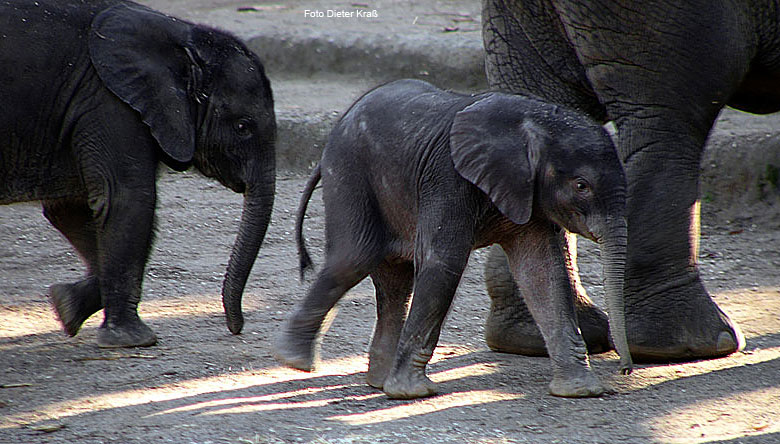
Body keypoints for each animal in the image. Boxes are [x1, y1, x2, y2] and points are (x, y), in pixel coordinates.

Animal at [274, 79, 632, 398]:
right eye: (581, 186)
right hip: (350, 172)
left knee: (395, 281)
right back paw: (295, 360)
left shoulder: (528, 196)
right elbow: (443, 263)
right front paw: (413, 393)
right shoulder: (448, 177)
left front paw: (581, 391)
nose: (626, 369)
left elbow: (543, 273)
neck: (532, 119)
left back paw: (377, 382)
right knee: (354, 257)